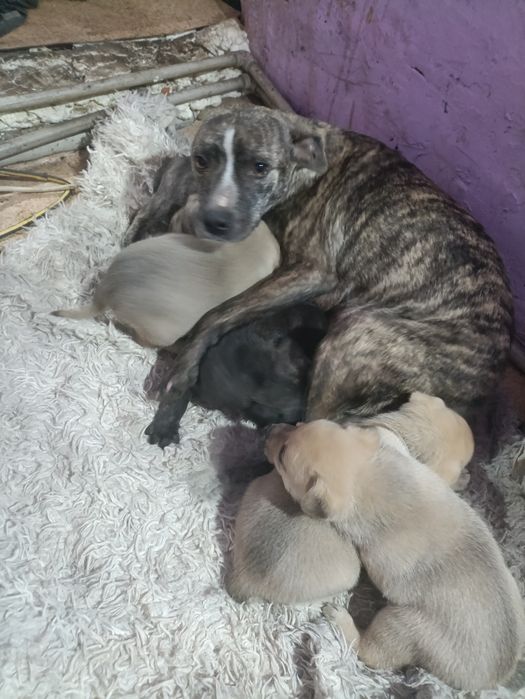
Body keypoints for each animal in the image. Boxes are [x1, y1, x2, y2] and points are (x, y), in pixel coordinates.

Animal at [265, 420, 524, 691]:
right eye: (298, 424)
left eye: (282, 456)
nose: (269, 430)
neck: (364, 473)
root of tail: (492, 678)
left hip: (401, 625)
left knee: (368, 651)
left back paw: (341, 620)